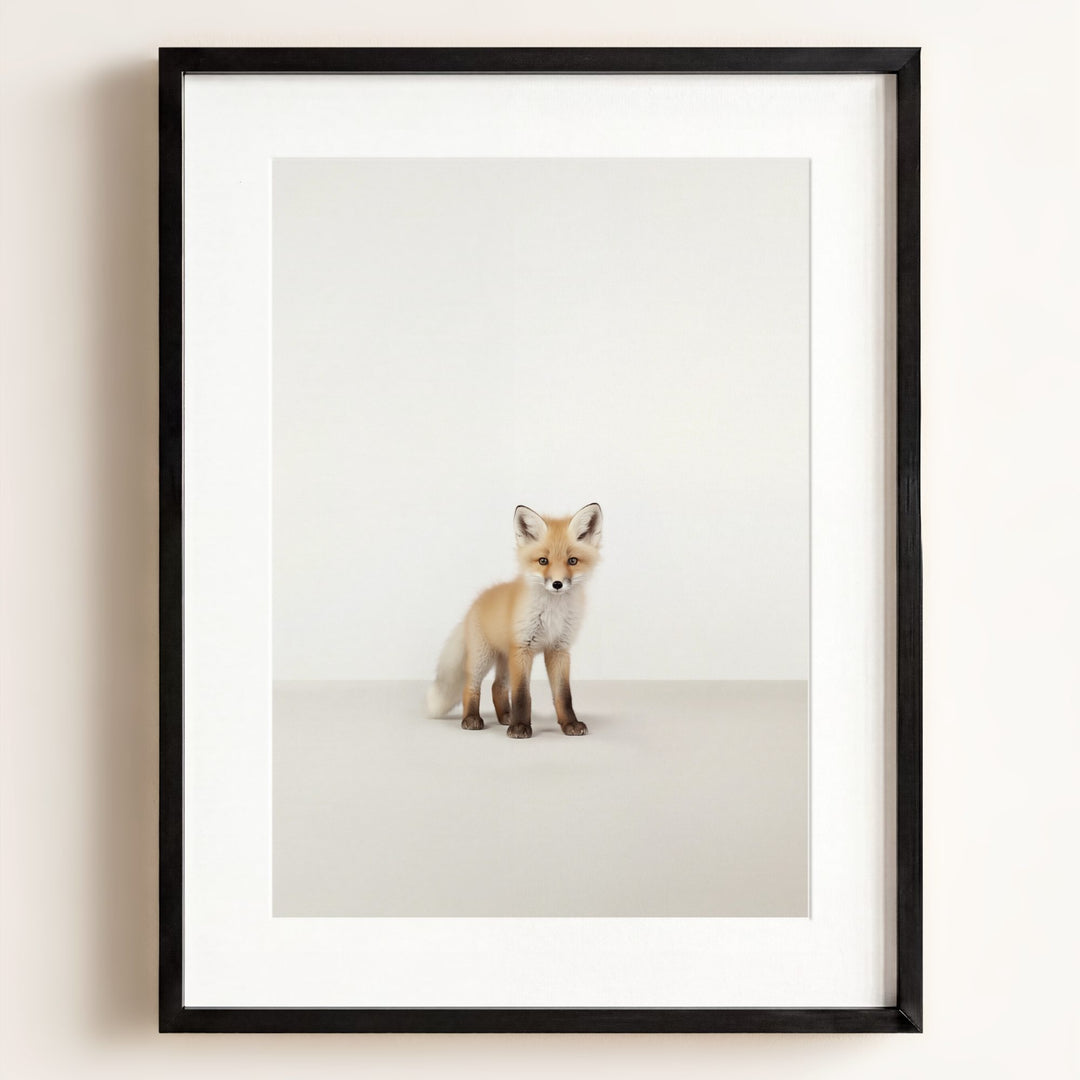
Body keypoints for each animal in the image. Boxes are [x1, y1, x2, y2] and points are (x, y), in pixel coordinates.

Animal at [426, 502, 603, 739]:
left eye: (572, 561)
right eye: (543, 561)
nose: (557, 584)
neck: (552, 613)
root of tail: (477, 602)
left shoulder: (559, 650)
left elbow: (563, 695)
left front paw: (569, 724)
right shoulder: (523, 648)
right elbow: (521, 695)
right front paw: (520, 727)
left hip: (505, 659)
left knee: (497, 687)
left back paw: (505, 717)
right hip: (483, 657)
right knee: (470, 686)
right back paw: (471, 718)